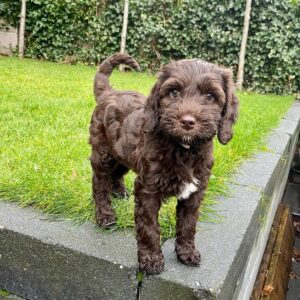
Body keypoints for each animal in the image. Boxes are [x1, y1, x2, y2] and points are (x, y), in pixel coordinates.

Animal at [89, 52, 239, 274]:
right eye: (174, 92)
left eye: (210, 96)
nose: (187, 122)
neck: (184, 149)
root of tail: (109, 93)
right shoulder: (148, 189)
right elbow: (149, 226)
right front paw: (151, 260)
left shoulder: (195, 190)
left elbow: (188, 224)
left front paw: (187, 252)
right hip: (103, 152)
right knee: (99, 182)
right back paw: (105, 215)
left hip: (122, 150)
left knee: (117, 172)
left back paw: (119, 192)